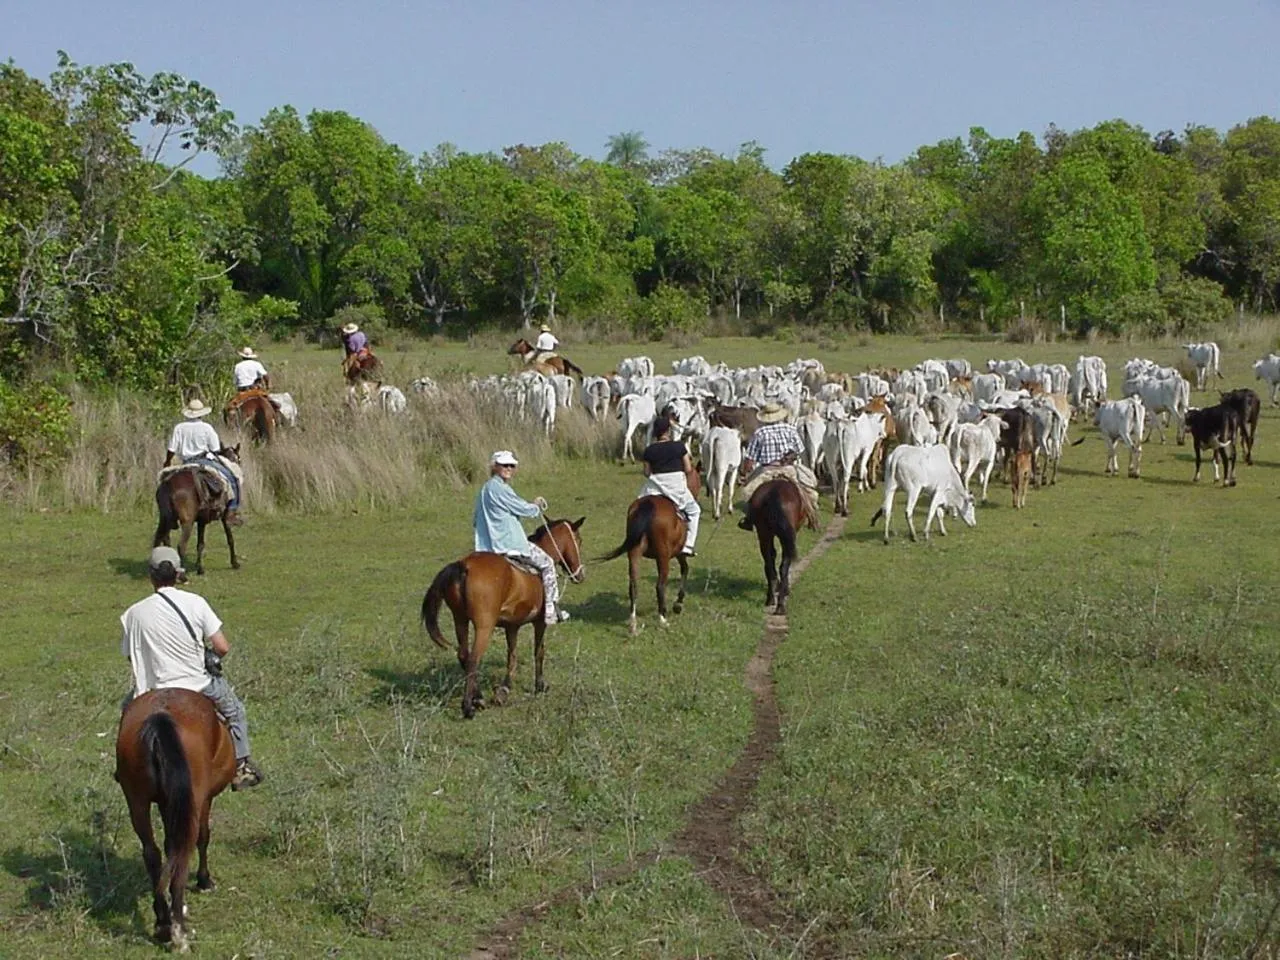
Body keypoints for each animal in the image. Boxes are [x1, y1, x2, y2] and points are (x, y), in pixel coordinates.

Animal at [115, 688, 236, 951]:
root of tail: (160, 716)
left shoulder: (165, 801)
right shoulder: (204, 799)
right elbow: (203, 837)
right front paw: (204, 881)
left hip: (136, 799)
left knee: (152, 852)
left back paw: (163, 923)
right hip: (193, 798)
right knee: (184, 850)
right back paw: (178, 929)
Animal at [153, 446, 241, 575]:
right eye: (238, 458)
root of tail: (169, 483)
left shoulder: (201, 520)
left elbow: (200, 544)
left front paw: (200, 568)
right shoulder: (225, 517)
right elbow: (230, 539)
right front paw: (234, 563)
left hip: (165, 519)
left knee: (163, 539)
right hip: (187, 522)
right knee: (181, 546)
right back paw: (181, 572)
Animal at [421, 518, 586, 719]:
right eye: (578, 540)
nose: (579, 575)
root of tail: (464, 566)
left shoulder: (511, 626)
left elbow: (512, 656)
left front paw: (504, 690)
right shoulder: (540, 623)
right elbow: (539, 652)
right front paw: (540, 685)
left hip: (459, 619)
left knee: (463, 655)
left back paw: (478, 697)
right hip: (484, 626)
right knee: (473, 659)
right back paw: (469, 706)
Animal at [599, 495, 691, 636]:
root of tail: (648, 504)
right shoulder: (679, 553)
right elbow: (685, 569)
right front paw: (678, 604)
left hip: (634, 552)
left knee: (633, 587)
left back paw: (633, 625)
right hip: (663, 556)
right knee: (660, 586)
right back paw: (662, 619)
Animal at [747, 479, 803, 615]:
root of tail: (775, 493)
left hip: (764, 534)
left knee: (769, 564)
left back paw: (772, 599)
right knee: (782, 566)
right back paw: (779, 604)